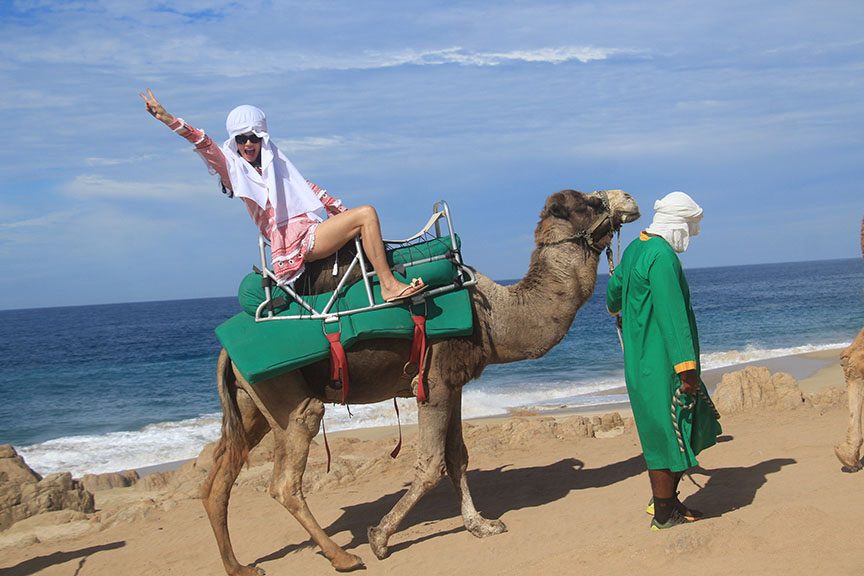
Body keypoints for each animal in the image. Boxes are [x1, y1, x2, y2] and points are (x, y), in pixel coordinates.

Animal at [201, 190, 640, 576]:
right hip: (288, 397)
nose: (629, 199)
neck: (494, 316)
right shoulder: (433, 380)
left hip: (252, 403)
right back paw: (343, 557)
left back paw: (239, 566)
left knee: (220, 478)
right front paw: (379, 538)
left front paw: (481, 525)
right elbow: (430, 464)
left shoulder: (455, 382)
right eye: (589, 202)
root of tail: (226, 348)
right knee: (285, 480)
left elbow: (457, 456)